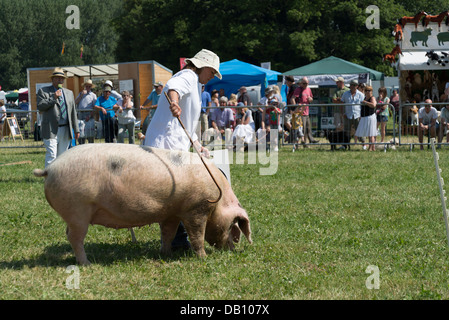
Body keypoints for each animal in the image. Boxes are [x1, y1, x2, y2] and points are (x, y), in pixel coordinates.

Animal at [34, 144, 252, 264]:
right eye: (232, 225)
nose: (232, 249)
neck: (219, 200)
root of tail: (50, 168)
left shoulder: (171, 213)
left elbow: (167, 233)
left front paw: (165, 253)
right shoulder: (196, 209)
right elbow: (197, 235)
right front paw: (203, 258)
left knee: (69, 235)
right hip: (78, 210)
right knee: (74, 237)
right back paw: (87, 263)